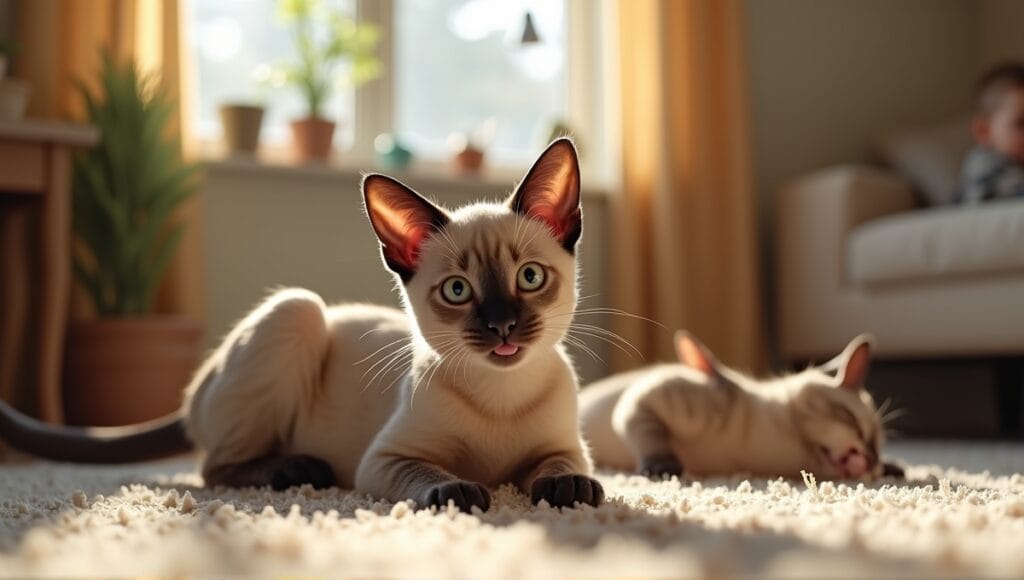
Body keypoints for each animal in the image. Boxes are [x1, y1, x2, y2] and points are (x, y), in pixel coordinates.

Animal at [0, 139, 602, 514]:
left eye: (529, 277)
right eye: (458, 291)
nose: (502, 327)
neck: (500, 395)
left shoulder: (563, 444)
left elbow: (562, 466)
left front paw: (569, 489)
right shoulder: (385, 461)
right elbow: (429, 476)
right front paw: (458, 491)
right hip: (296, 311)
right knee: (212, 468)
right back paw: (298, 471)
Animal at [581, 332, 909, 481]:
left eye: (878, 446)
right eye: (853, 422)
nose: (871, 458)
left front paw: (892, 467)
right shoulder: (645, 399)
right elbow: (653, 441)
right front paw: (663, 469)